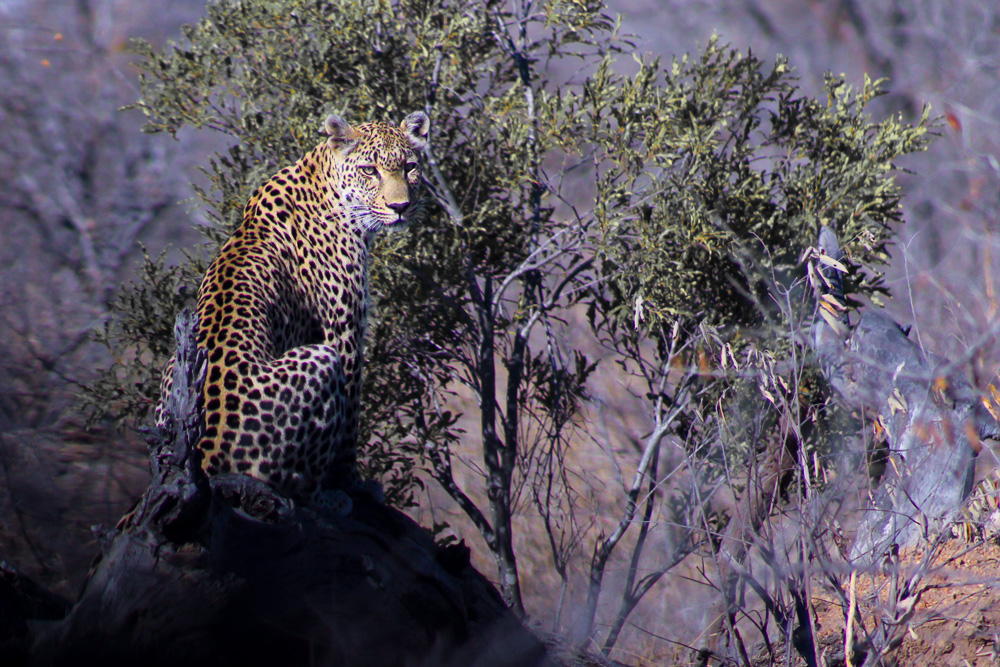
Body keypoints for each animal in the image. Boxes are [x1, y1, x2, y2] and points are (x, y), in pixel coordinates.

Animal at [157, 111, 430, 506]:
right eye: (369, 170)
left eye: (409, 167)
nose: (400, 208)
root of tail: (205, 455)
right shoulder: (343, 333)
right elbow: (350, 420)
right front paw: (353, 483)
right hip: (320, 359)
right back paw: (330, 499)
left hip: (169, 371)